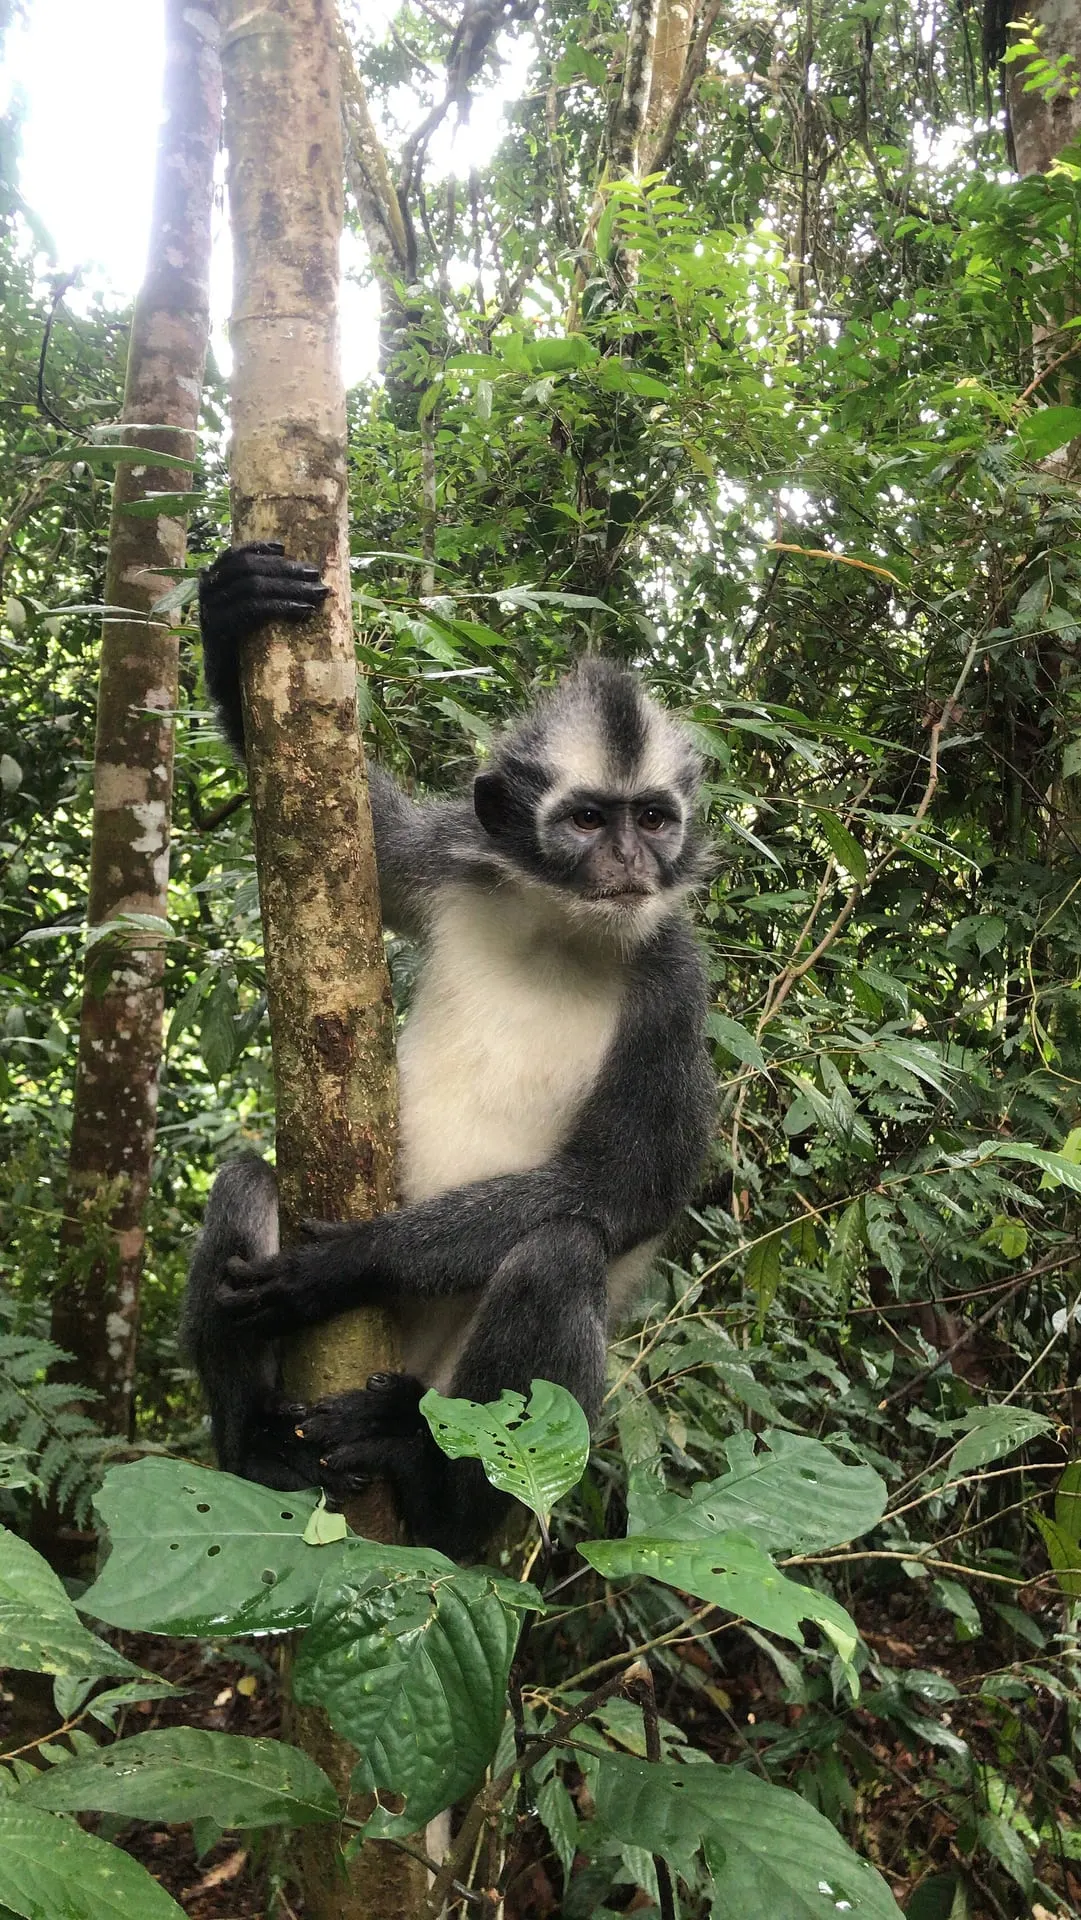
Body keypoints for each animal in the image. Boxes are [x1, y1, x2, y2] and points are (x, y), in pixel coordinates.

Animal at [182, 542, 714, 1560]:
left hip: (460, 1406)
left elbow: (626, 1187)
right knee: (248, 1178)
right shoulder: (452, 859)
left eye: (652, 819)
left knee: (556, 1257)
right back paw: (252, 1445)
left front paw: (344, 1265)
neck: (559, 927)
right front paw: (233, 607)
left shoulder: (674, 990)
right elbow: (370, 832)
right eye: (588, 821)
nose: (629, 865)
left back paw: (434, 1494)